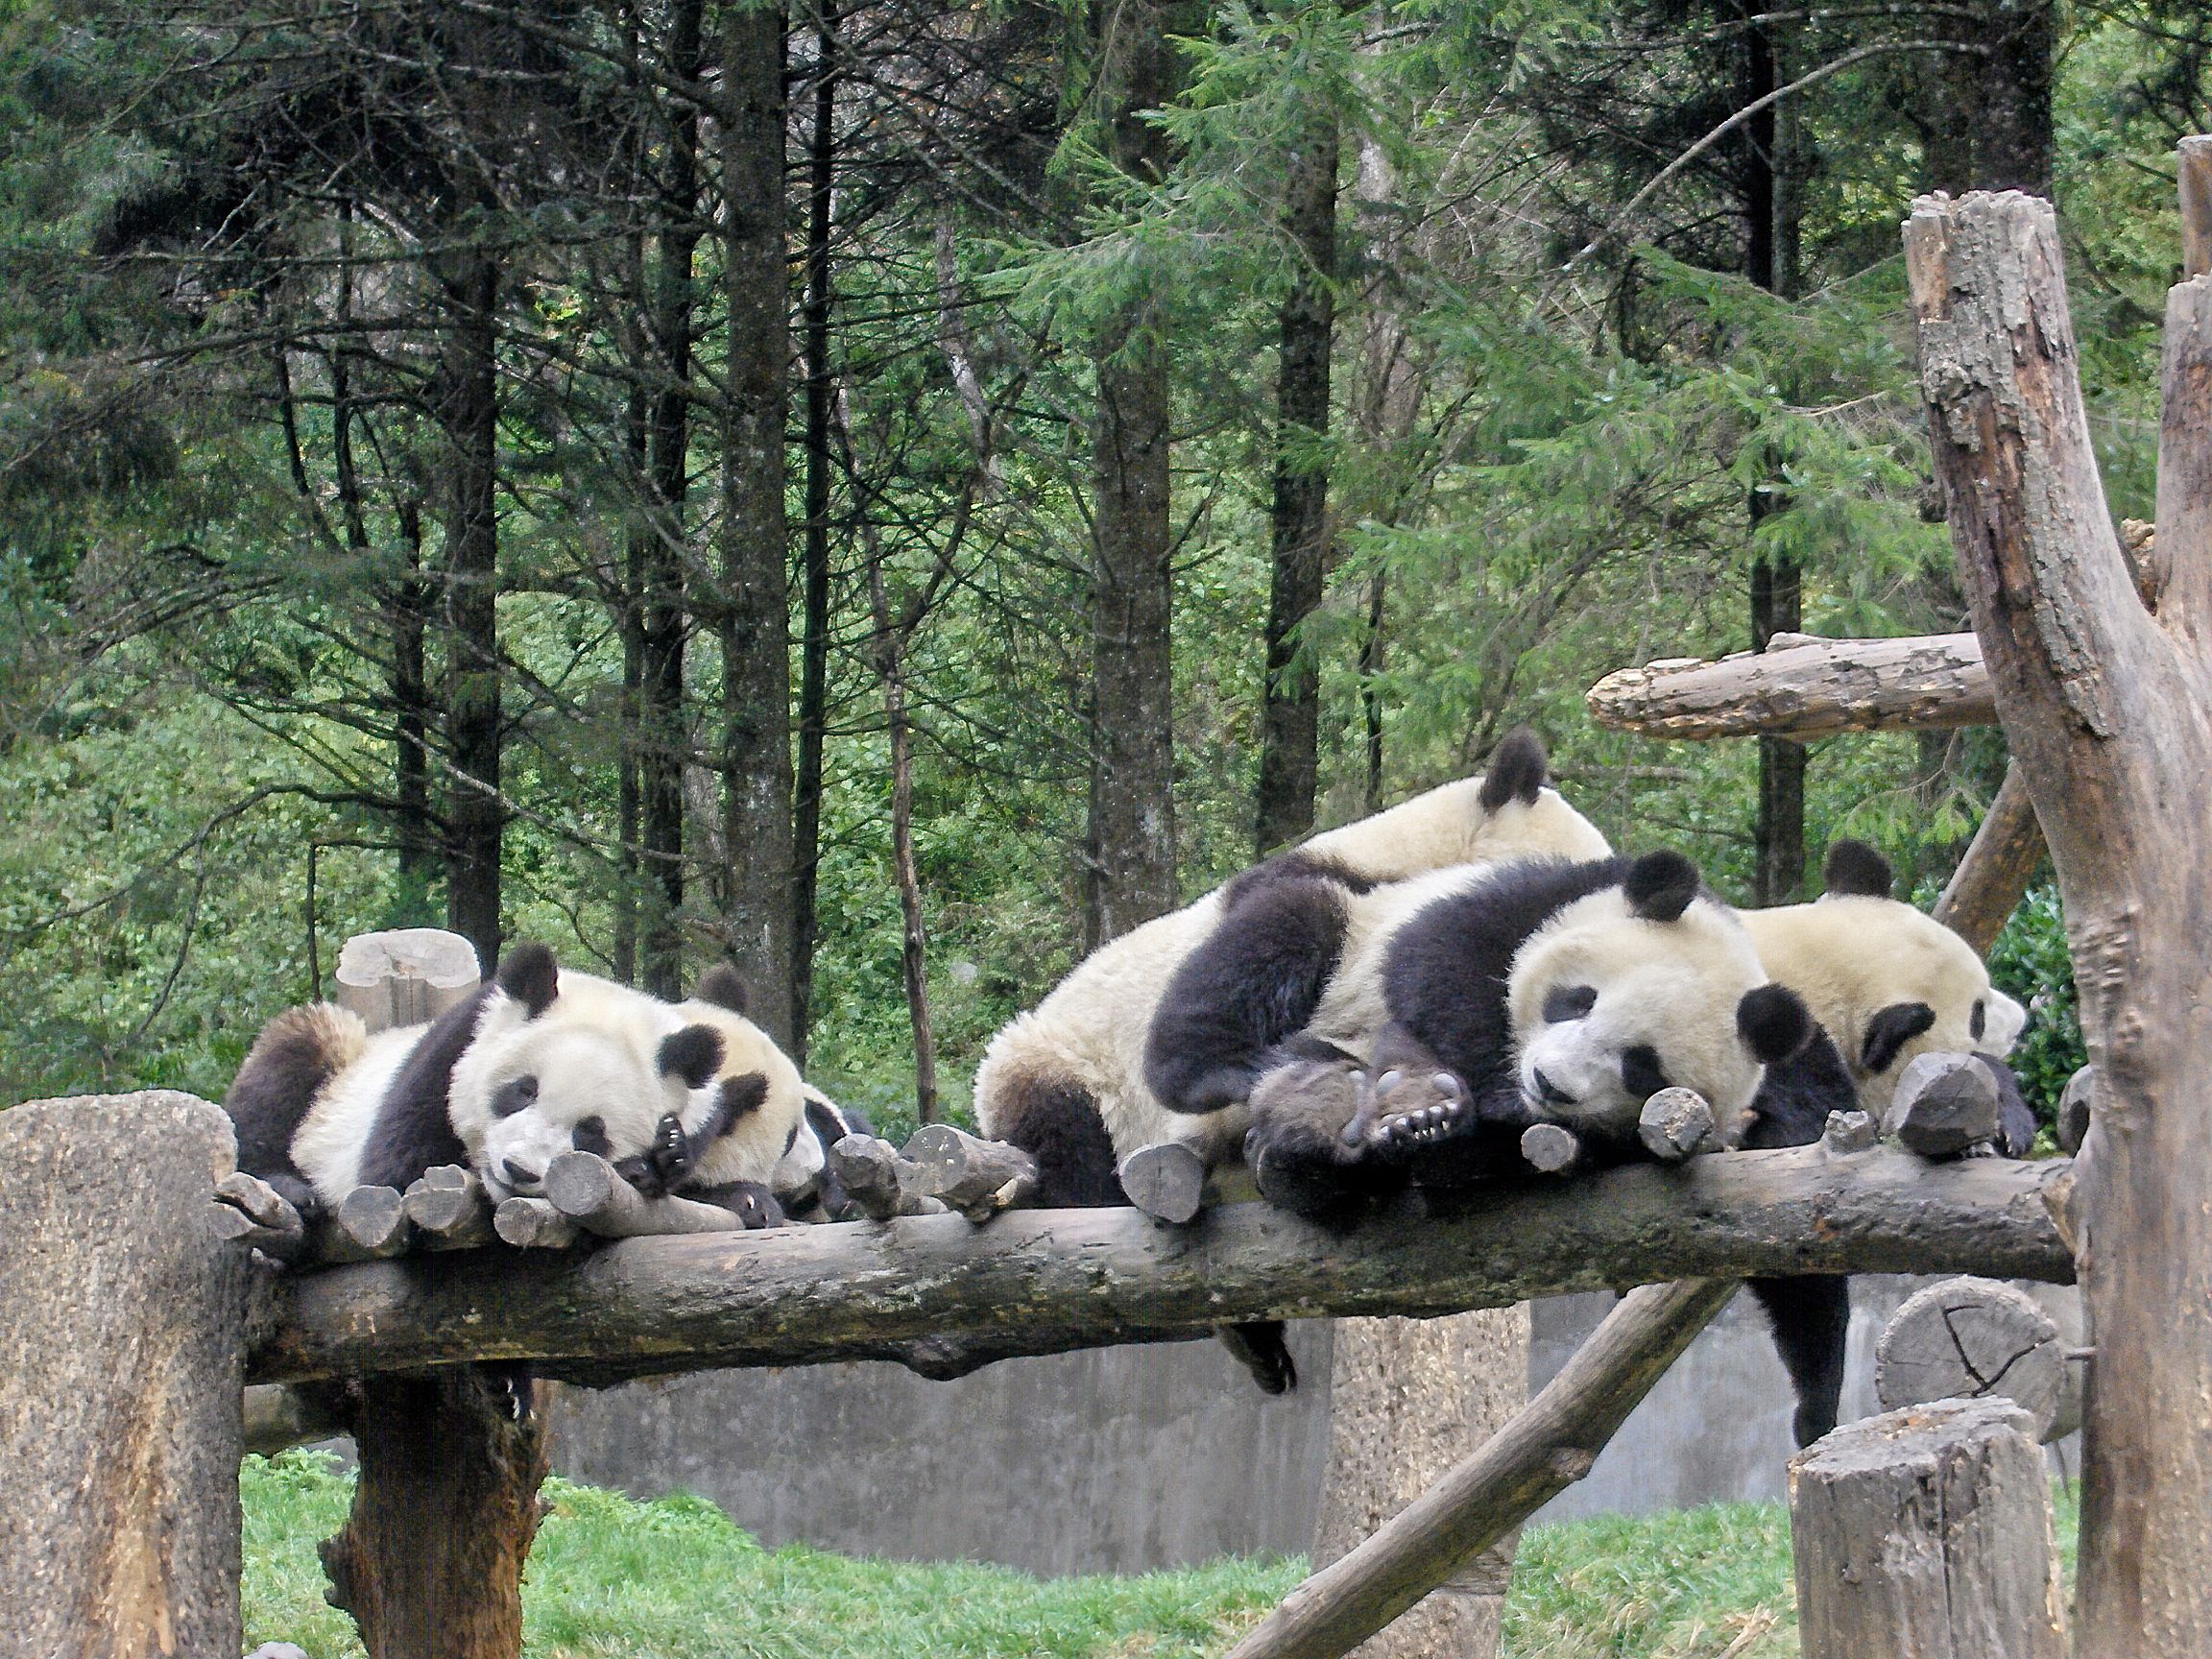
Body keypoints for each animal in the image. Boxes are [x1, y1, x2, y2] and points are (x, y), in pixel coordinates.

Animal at [224, 943, 732, 1219]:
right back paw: (285, 1182)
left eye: (592, 1132)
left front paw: (659, 1158)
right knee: (285, 1069)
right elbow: (397, 1173)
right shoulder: (451, 1050)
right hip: (341, 1066)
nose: (519, 1170)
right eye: (521, 1091)